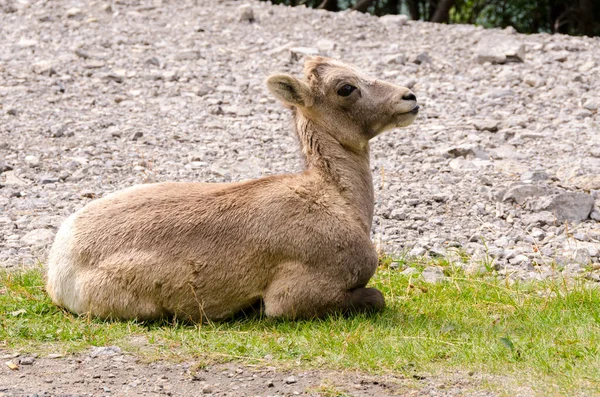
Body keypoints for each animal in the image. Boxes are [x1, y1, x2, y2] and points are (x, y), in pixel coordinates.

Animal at [45, 55, 418, 320]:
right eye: (345, 88)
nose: (409, 98)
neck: (338, 200)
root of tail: (58, 265)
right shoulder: (294, 296)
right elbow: (375, 298)